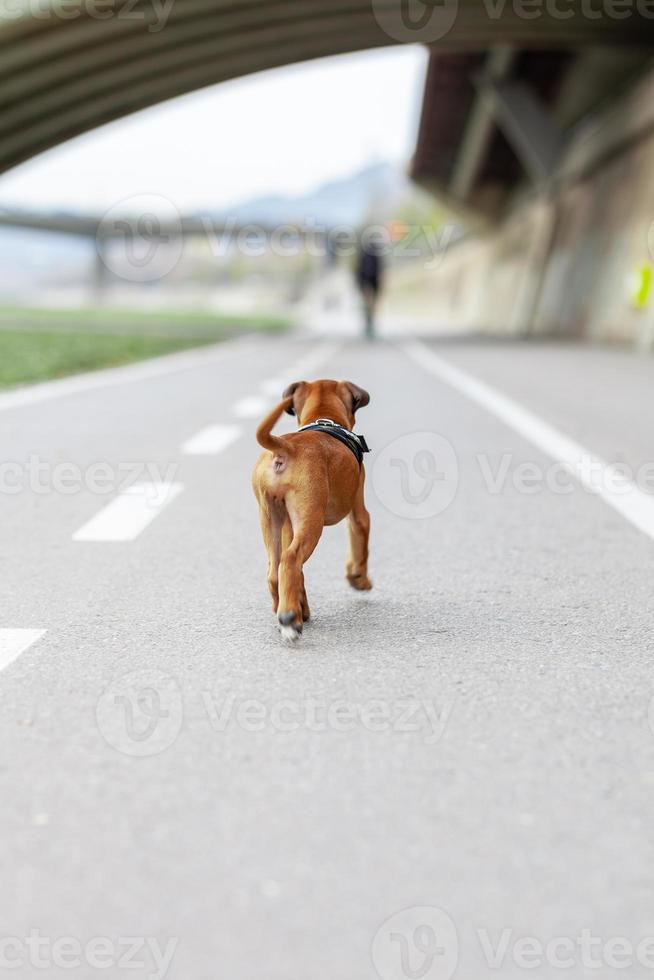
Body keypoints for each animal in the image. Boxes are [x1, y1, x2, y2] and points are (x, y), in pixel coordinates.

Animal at [252, 378, 372, 640]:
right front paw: (360, 580)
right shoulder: (358, 512)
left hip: (271, 517)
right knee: (290, 560)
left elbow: (298, 575)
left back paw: (289, 611)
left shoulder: (289, 525)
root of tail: (285, 447)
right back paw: (290, 618)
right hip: (311, 522)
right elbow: (360, 546)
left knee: (276, 569)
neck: (324, 417)